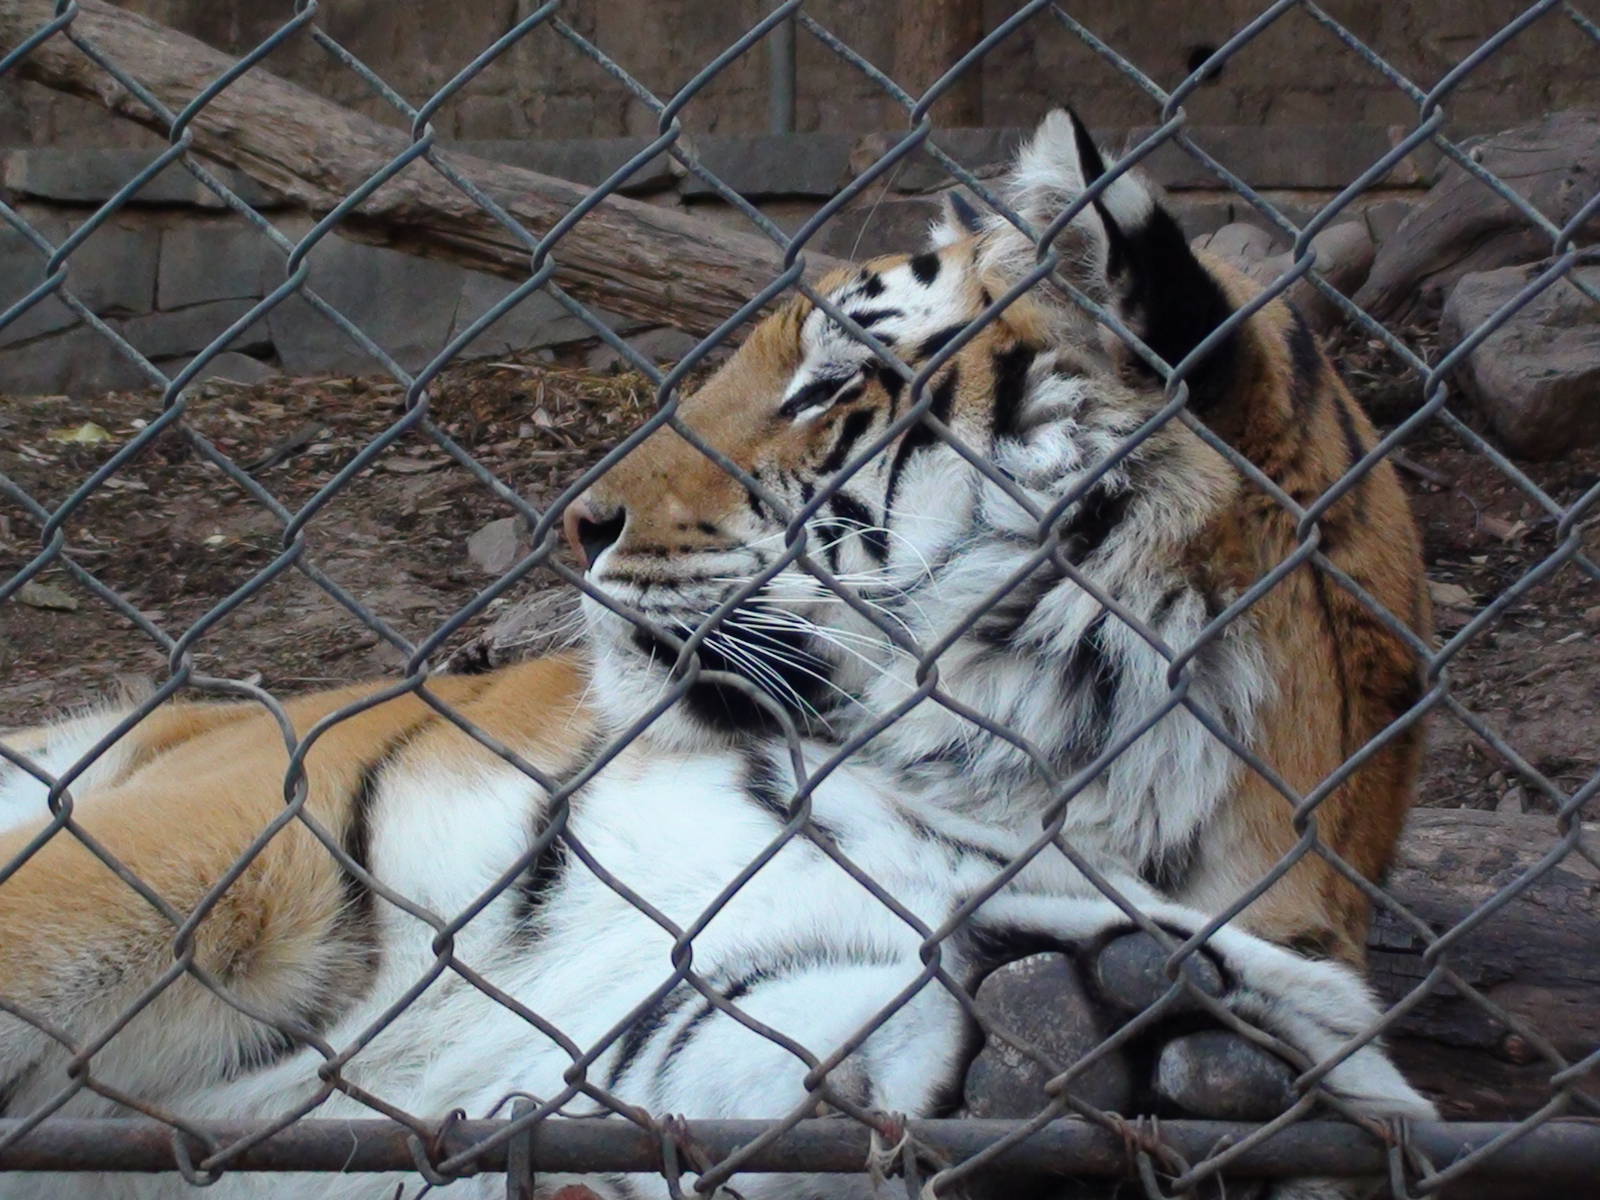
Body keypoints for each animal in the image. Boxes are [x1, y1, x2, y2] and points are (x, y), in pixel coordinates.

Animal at [0, 111, 1434, 1199]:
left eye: (827, 385)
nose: (577, 519)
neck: (1059, 793)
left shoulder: (701, 999)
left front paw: (1147, 1061)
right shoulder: (268, 827)